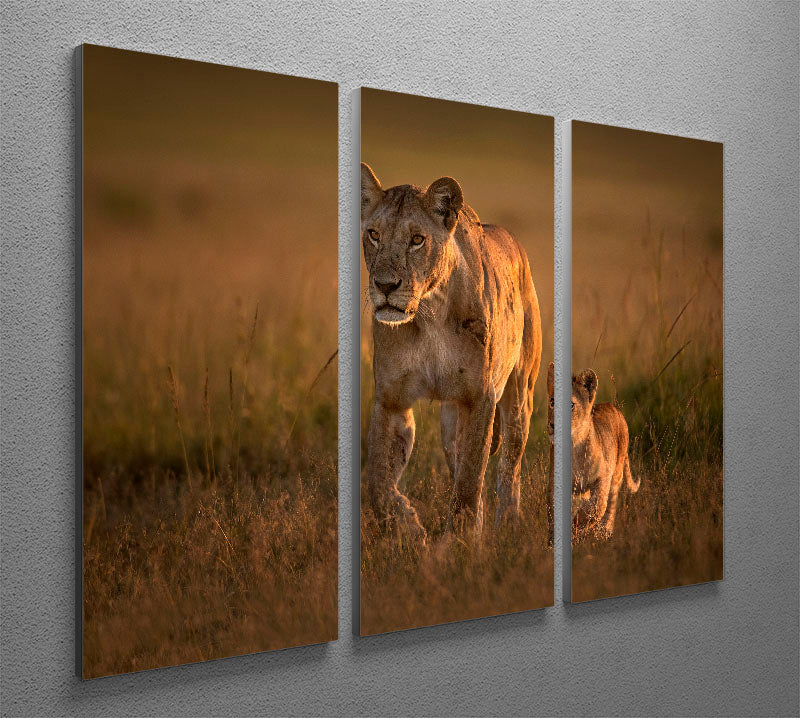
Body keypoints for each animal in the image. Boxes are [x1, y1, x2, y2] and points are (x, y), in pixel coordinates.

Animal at [360, 163, 542, 542]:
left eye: (417, 239)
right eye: (373, 234)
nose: (385, 286)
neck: (429, 314)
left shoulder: (479, 398)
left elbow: (470, 481)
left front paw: (458, 542)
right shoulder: (391, 400)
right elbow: (379, 484)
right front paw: (408, 528)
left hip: (520, 394)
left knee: (509, 466)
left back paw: (509, 524)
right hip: (450, 421)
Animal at [546, 362, 640, 539]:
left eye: (571, 405)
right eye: (552, 402)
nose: (552, 425)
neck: (574, 446)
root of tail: (613, 407)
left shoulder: (603, 476)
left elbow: (598, 506)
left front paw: (579, 525)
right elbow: (553, 511)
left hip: (616, 472)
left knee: (610, 504)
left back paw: (603, 532)